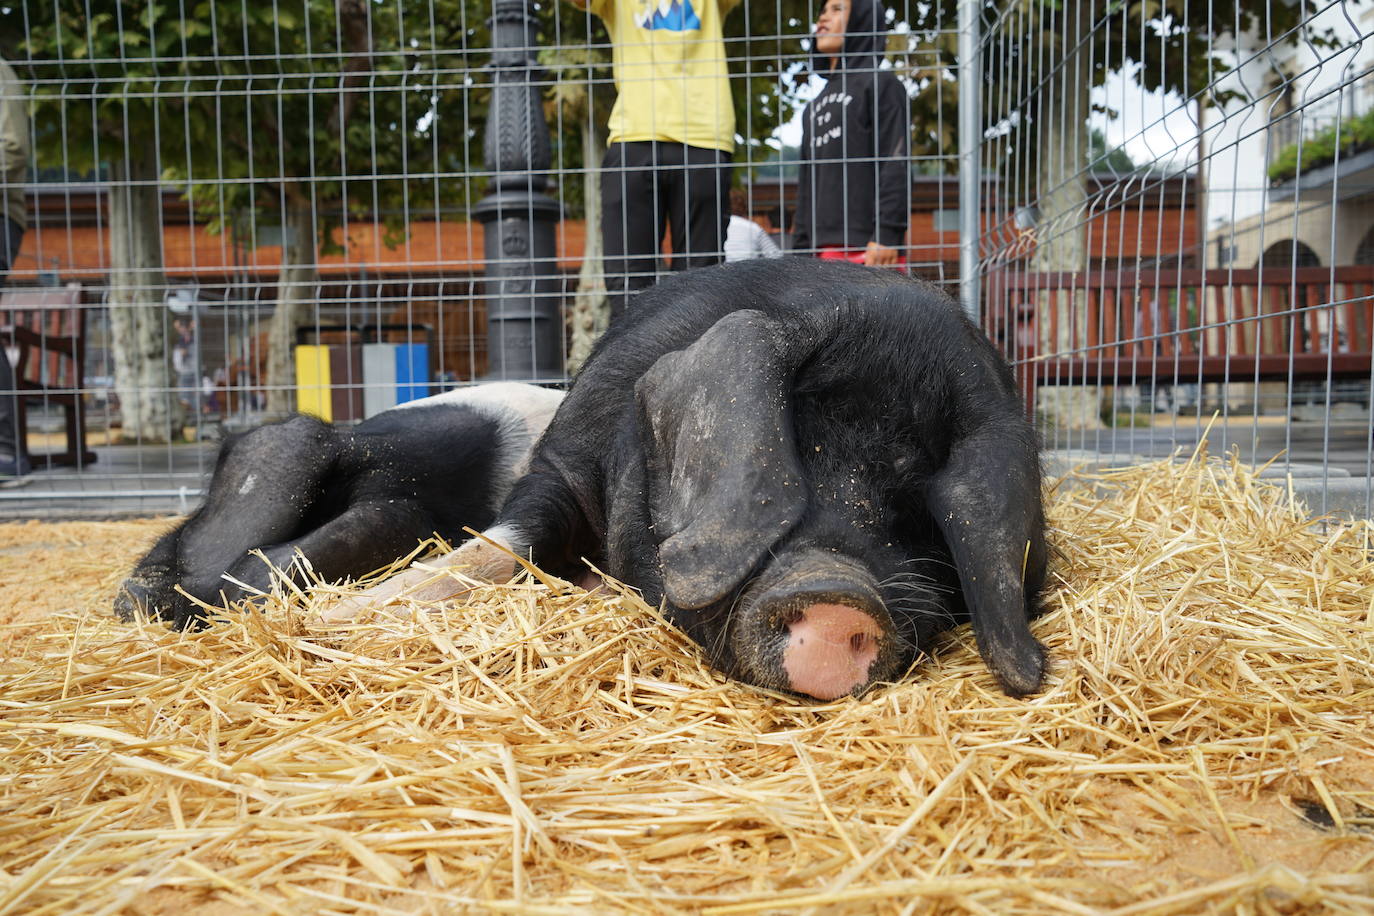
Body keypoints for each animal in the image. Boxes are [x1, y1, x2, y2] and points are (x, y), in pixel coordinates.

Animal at [327, 260, 1044, 697]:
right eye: (794, 448)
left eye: (918, 504)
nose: (836, 594)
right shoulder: (560, 465)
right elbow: (498, 547)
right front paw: (334, 621)